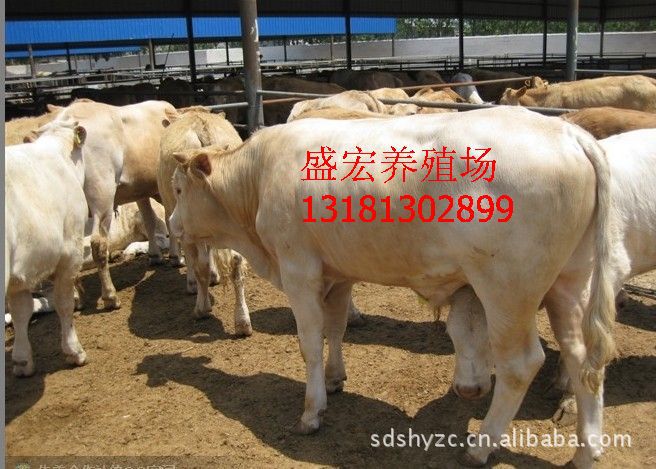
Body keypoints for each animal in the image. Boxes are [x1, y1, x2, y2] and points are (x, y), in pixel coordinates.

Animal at [5, 119, 89, 376]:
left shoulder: (20, 274)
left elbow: (21, 311)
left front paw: (22, 361)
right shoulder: (70, 253)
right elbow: (64, 302)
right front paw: (74, 351)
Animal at [48, 100, 178, 310]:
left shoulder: (140, 189)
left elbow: (151, 220)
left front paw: (156, 255)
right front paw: (173, 256)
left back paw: (77, 297)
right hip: (103, 195)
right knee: (99, 243)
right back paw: (109, 296)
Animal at [168, 107, 615, 468]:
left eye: (177, 189)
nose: (172, 225)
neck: (259, 177)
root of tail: (566, 132)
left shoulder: (300, 272)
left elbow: (310, 343)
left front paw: (312, 412)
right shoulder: (337, 274)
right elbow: (336, 329)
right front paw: (334, 379)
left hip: (508, 290)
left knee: (521, 364)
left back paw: (481, 446)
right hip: (569, 283)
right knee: (582, 357)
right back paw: (586, 450)